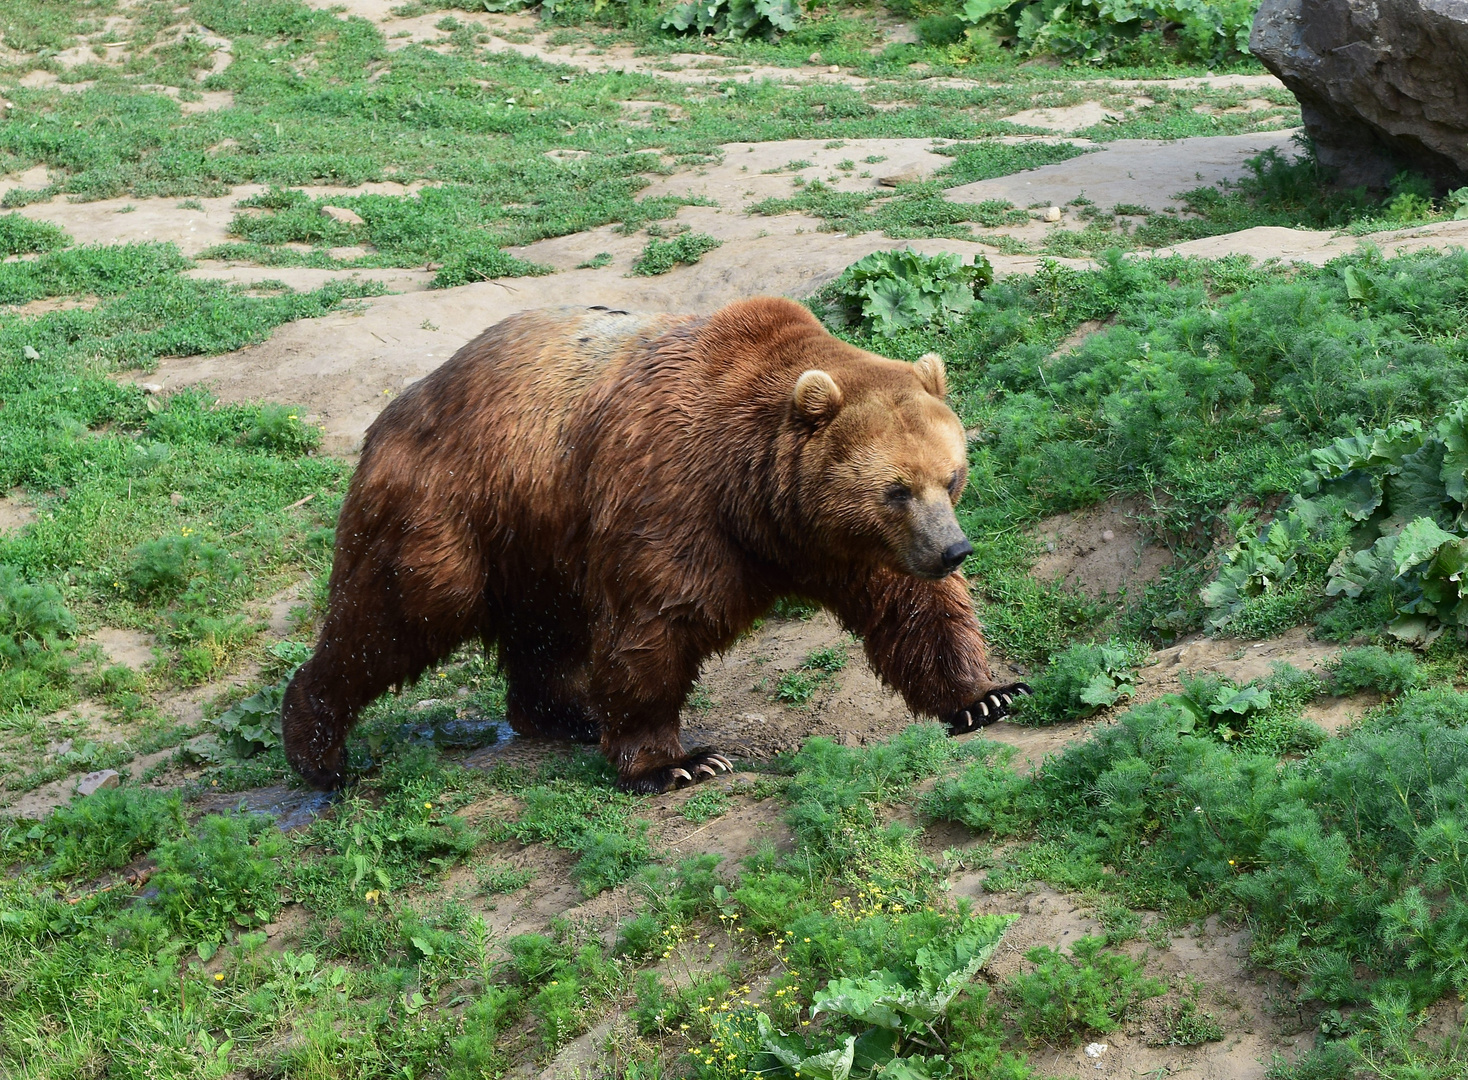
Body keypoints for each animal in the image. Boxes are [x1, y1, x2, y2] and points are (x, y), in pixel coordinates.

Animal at [280, 294, 1027, 792]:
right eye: (896, 489)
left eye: (952, 475)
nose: (953, 551)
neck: (759, 498)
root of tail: (396, 409)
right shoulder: (673, 493)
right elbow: (657, 622)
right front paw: (679, 761)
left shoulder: (854, 547)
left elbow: (913, 609)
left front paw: (986, 695)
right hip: (451, 507)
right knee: (395, 614)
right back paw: (320, 751)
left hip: (538, 533)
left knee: (543, 629)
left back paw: (565, 713)